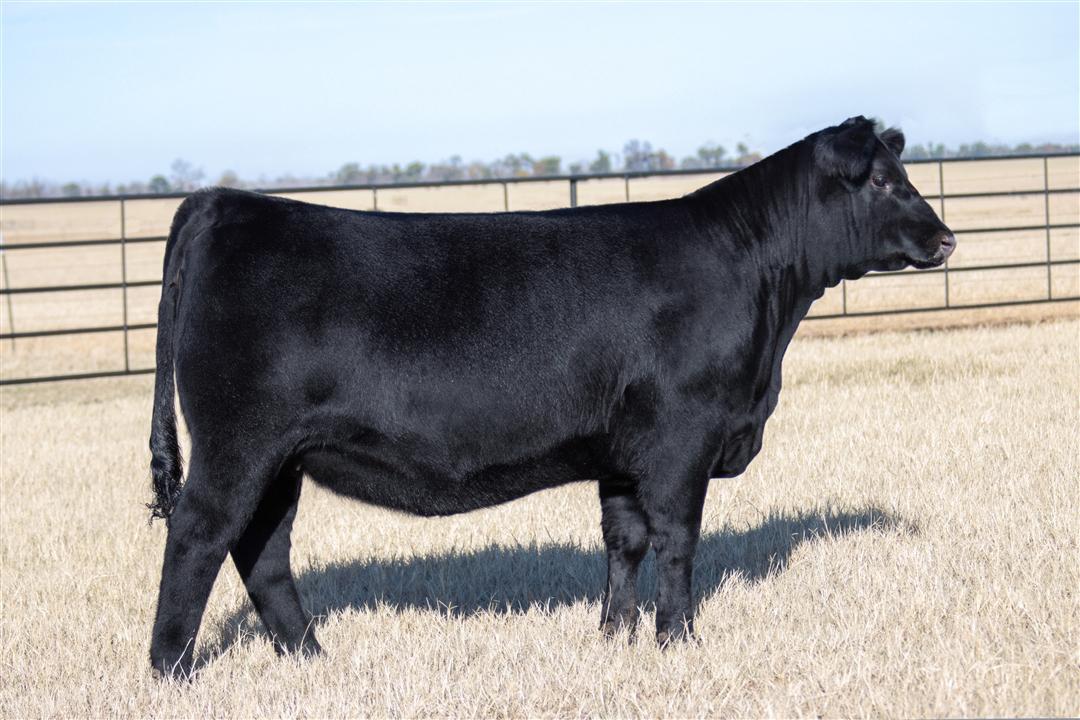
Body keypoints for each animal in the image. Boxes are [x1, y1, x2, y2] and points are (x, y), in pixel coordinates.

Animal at [147, 116, 954, 677]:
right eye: (882, 182)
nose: (945, 238)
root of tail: (223, 205)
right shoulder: (681, 437)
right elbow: (678, 540)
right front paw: (678, 640)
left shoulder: (624, 453)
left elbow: (624, 541)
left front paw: (614, 636)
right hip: (237, 445)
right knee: (198, 536)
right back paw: (171, 671)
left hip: (281, 459)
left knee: (262, 551)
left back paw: (311, 658)